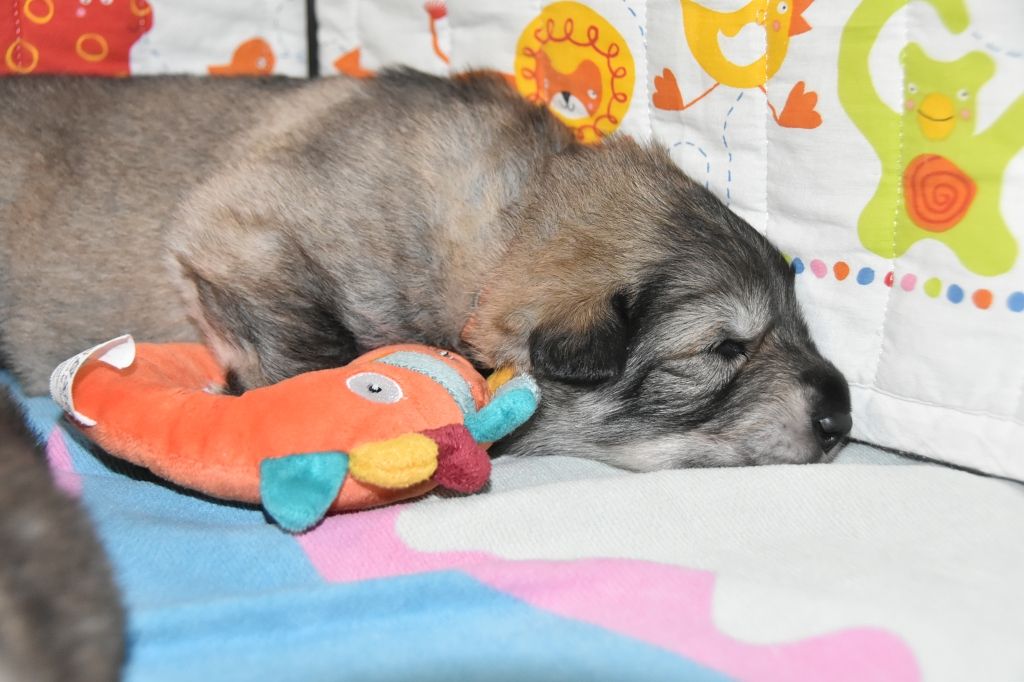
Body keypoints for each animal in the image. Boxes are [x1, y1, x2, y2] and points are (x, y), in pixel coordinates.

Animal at [0, 68, 851, 471]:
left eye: (801, 324)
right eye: (724, 349)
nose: (842, 421)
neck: (507, 228)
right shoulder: (233, 233)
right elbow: (320, 351)